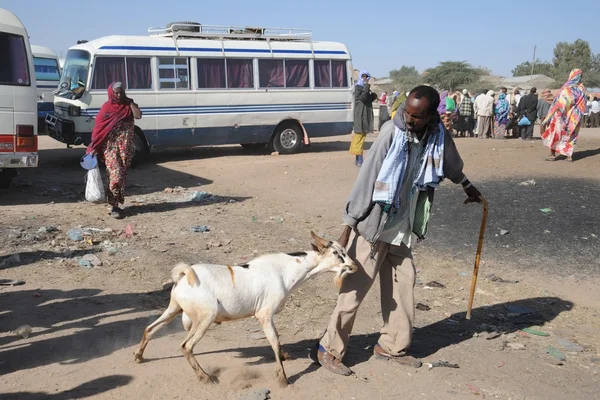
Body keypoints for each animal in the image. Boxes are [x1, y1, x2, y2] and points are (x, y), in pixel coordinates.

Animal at [135, 233, 356, 386]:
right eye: (337, 253)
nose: (353, 266)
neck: (286, 271)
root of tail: (184, 274)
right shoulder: (264, 314)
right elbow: (274, 342)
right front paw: (282, 378)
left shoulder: (269, 316)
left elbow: (277, 339)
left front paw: (285, 357)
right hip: (205, 317)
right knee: (186, 346)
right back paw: (205, 377)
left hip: (175, 308)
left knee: (150, 329)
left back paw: (139, 356)